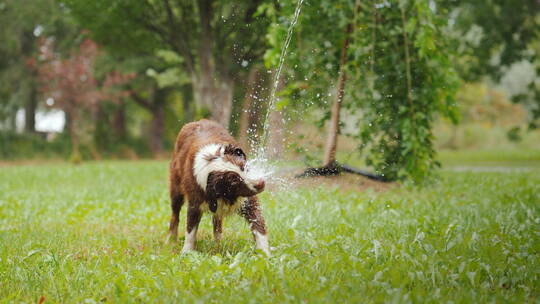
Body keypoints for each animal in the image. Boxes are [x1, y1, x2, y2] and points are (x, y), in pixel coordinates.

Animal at [168, 119, 268, 254]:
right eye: (234, 182)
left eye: (244, 167)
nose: (261, 183)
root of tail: (195, 121)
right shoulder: (195, 202)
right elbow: (190, 230)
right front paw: (186, 252)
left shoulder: (247, 202)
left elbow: (258, 226)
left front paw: (265, 253)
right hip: (176, 188)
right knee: (175, 214)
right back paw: (171, 239)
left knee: (217, 222)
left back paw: (219, 243)